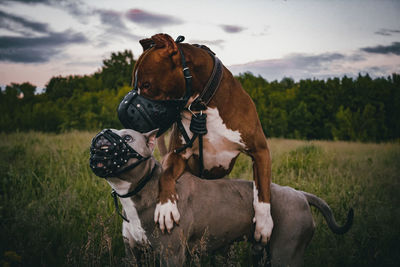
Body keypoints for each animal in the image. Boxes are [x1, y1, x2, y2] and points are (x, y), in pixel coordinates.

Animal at [130, 34, 274, 245]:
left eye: (146, 85)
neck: (202, 106)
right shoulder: (177, 155)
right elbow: (165, 175)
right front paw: (165, 207)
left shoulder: (260, 151)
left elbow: (263, 189)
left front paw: (264, 224)